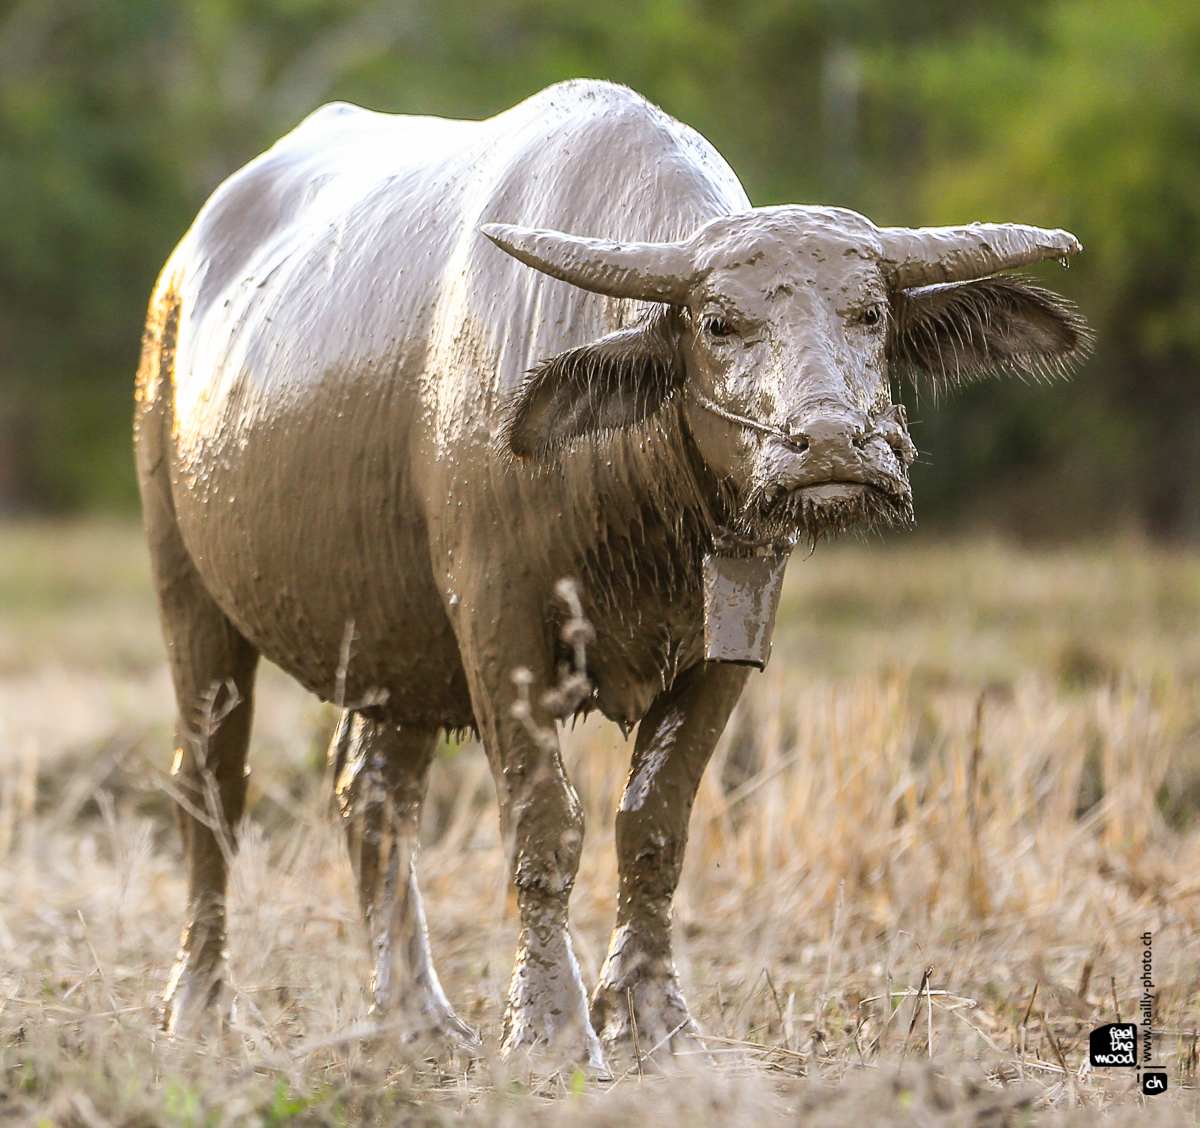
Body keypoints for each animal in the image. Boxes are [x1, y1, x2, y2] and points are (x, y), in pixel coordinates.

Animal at [136, 79, 1094, 1065]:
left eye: (870, 313)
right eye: (718, 323)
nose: (830, 446)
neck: (642, 510)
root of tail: (182, 276)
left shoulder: (727, 641)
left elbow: (655, 824)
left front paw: (650, 1017)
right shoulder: (496, 627)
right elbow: (545, 823)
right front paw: (550, 1028)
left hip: (395, 646)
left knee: (371, 794)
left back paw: (417, 1014)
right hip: (189, 591)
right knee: (210, 783)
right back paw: (200, 1006)